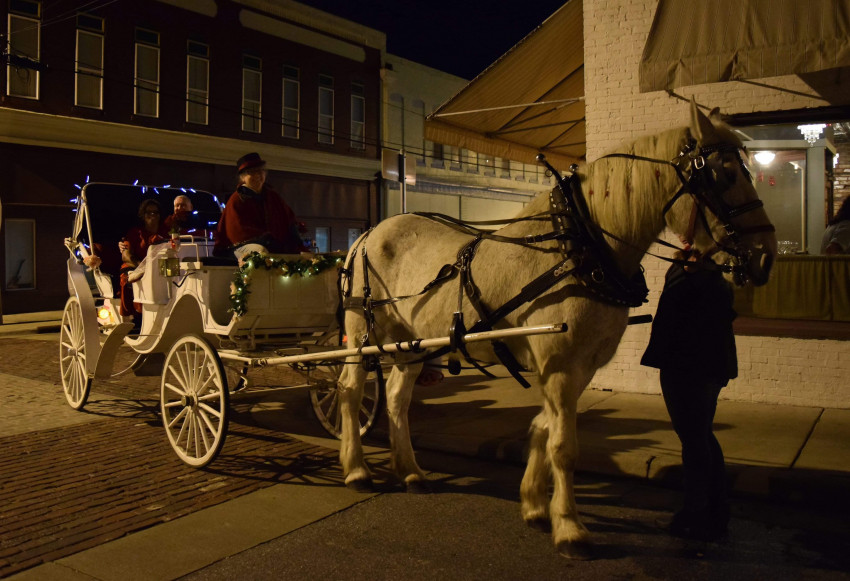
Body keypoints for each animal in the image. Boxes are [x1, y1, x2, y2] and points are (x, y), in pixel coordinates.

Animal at [334, 103, 772, 556]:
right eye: (725, 174)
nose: (765, 255)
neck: (581, 248)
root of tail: (369, 233)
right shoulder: (560, 363)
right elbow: (564, 446)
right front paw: (569, 527)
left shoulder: (579, 365)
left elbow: (544, 428)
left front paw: (534, 505)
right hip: (362, 333)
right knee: (350, 390)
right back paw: (356, 469)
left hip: (411, 344)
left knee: (396, 398)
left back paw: (411, 471)